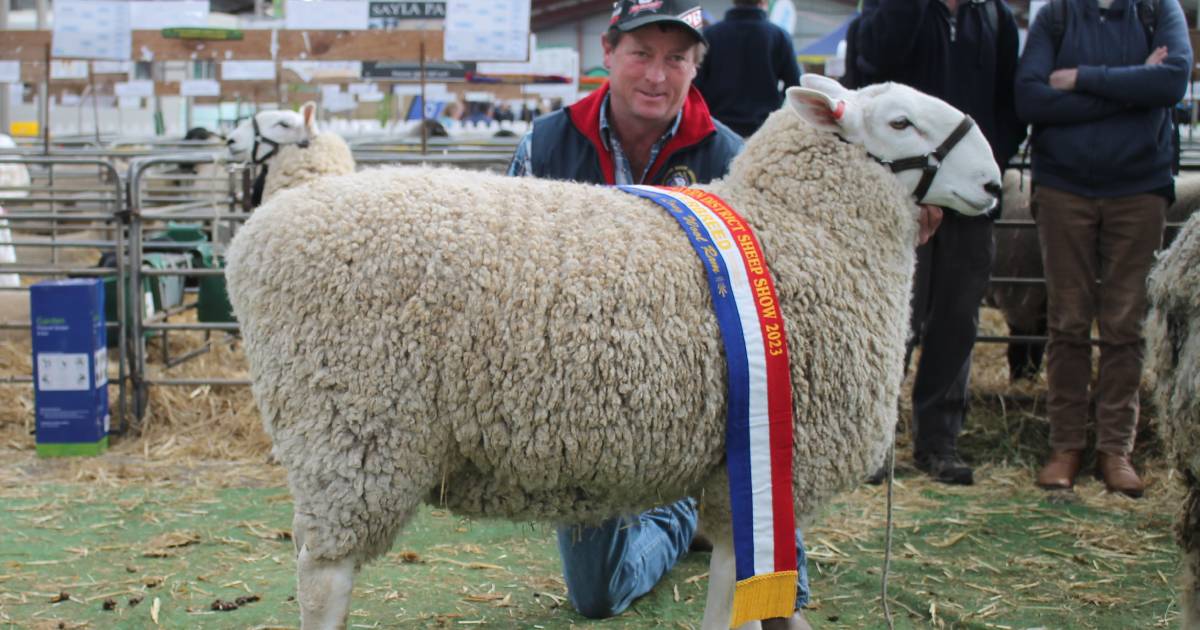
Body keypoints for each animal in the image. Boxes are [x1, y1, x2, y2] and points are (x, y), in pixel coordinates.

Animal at [225, 75, 1003, 628]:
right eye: (900, 123)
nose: (994, 184)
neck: (800, 228)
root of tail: (252, 239)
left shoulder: (745, 466)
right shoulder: (769, 459)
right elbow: (736, 590)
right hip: (352, 426)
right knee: (323, 577)